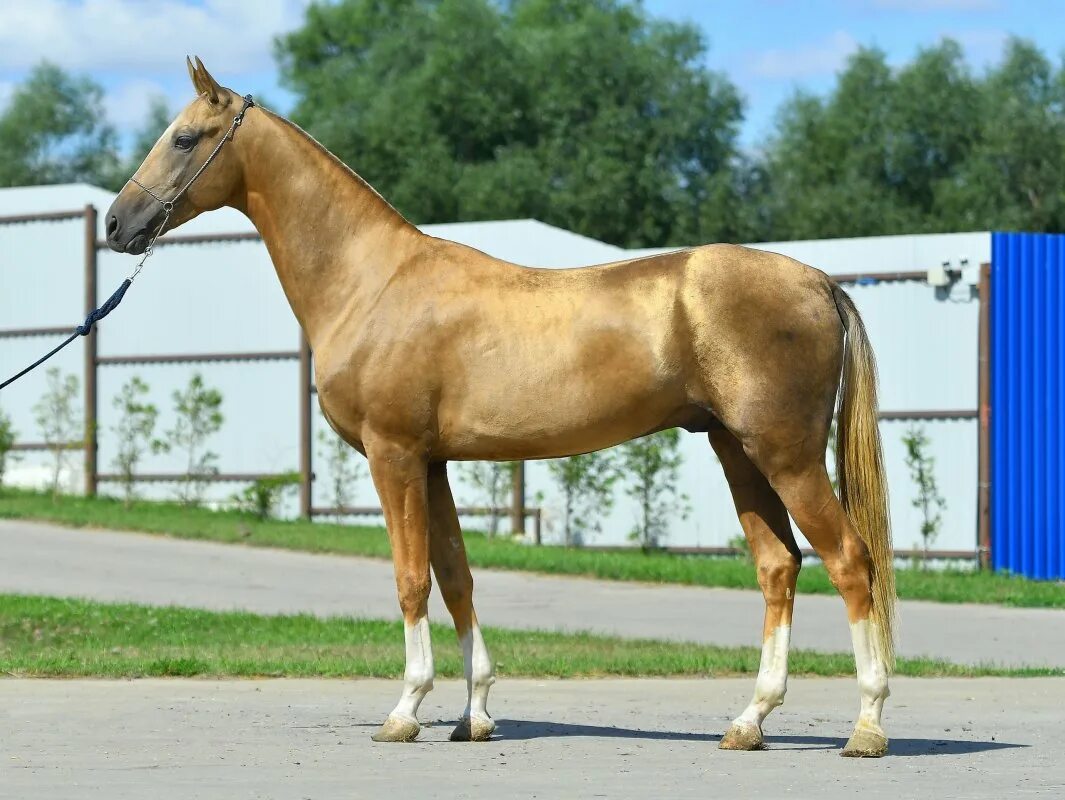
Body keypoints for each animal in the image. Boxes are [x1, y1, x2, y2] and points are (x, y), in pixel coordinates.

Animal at [103, 57, 894, 758]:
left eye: (184, 137)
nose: (115, 224)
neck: (372, 280)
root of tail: (817, 280)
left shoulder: (394, 456)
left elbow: (411, 579)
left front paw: (404, 711)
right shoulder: (434, 464)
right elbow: (456, 576)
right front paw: (474, 714)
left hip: (785, 454)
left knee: (849, 560)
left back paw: (866, 726)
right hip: (736, 450)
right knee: (778, 566)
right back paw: (749, 722)